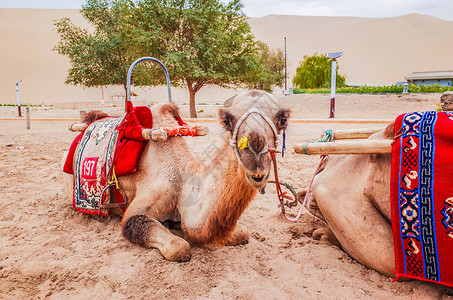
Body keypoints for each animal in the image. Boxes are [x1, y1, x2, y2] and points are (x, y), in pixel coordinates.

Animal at [62, 90, 290, 262]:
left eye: (283, 119)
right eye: (227, 120)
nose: (256, 151)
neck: (182, 181)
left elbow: (243, 233)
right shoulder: (137, 210)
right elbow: (178, 246)